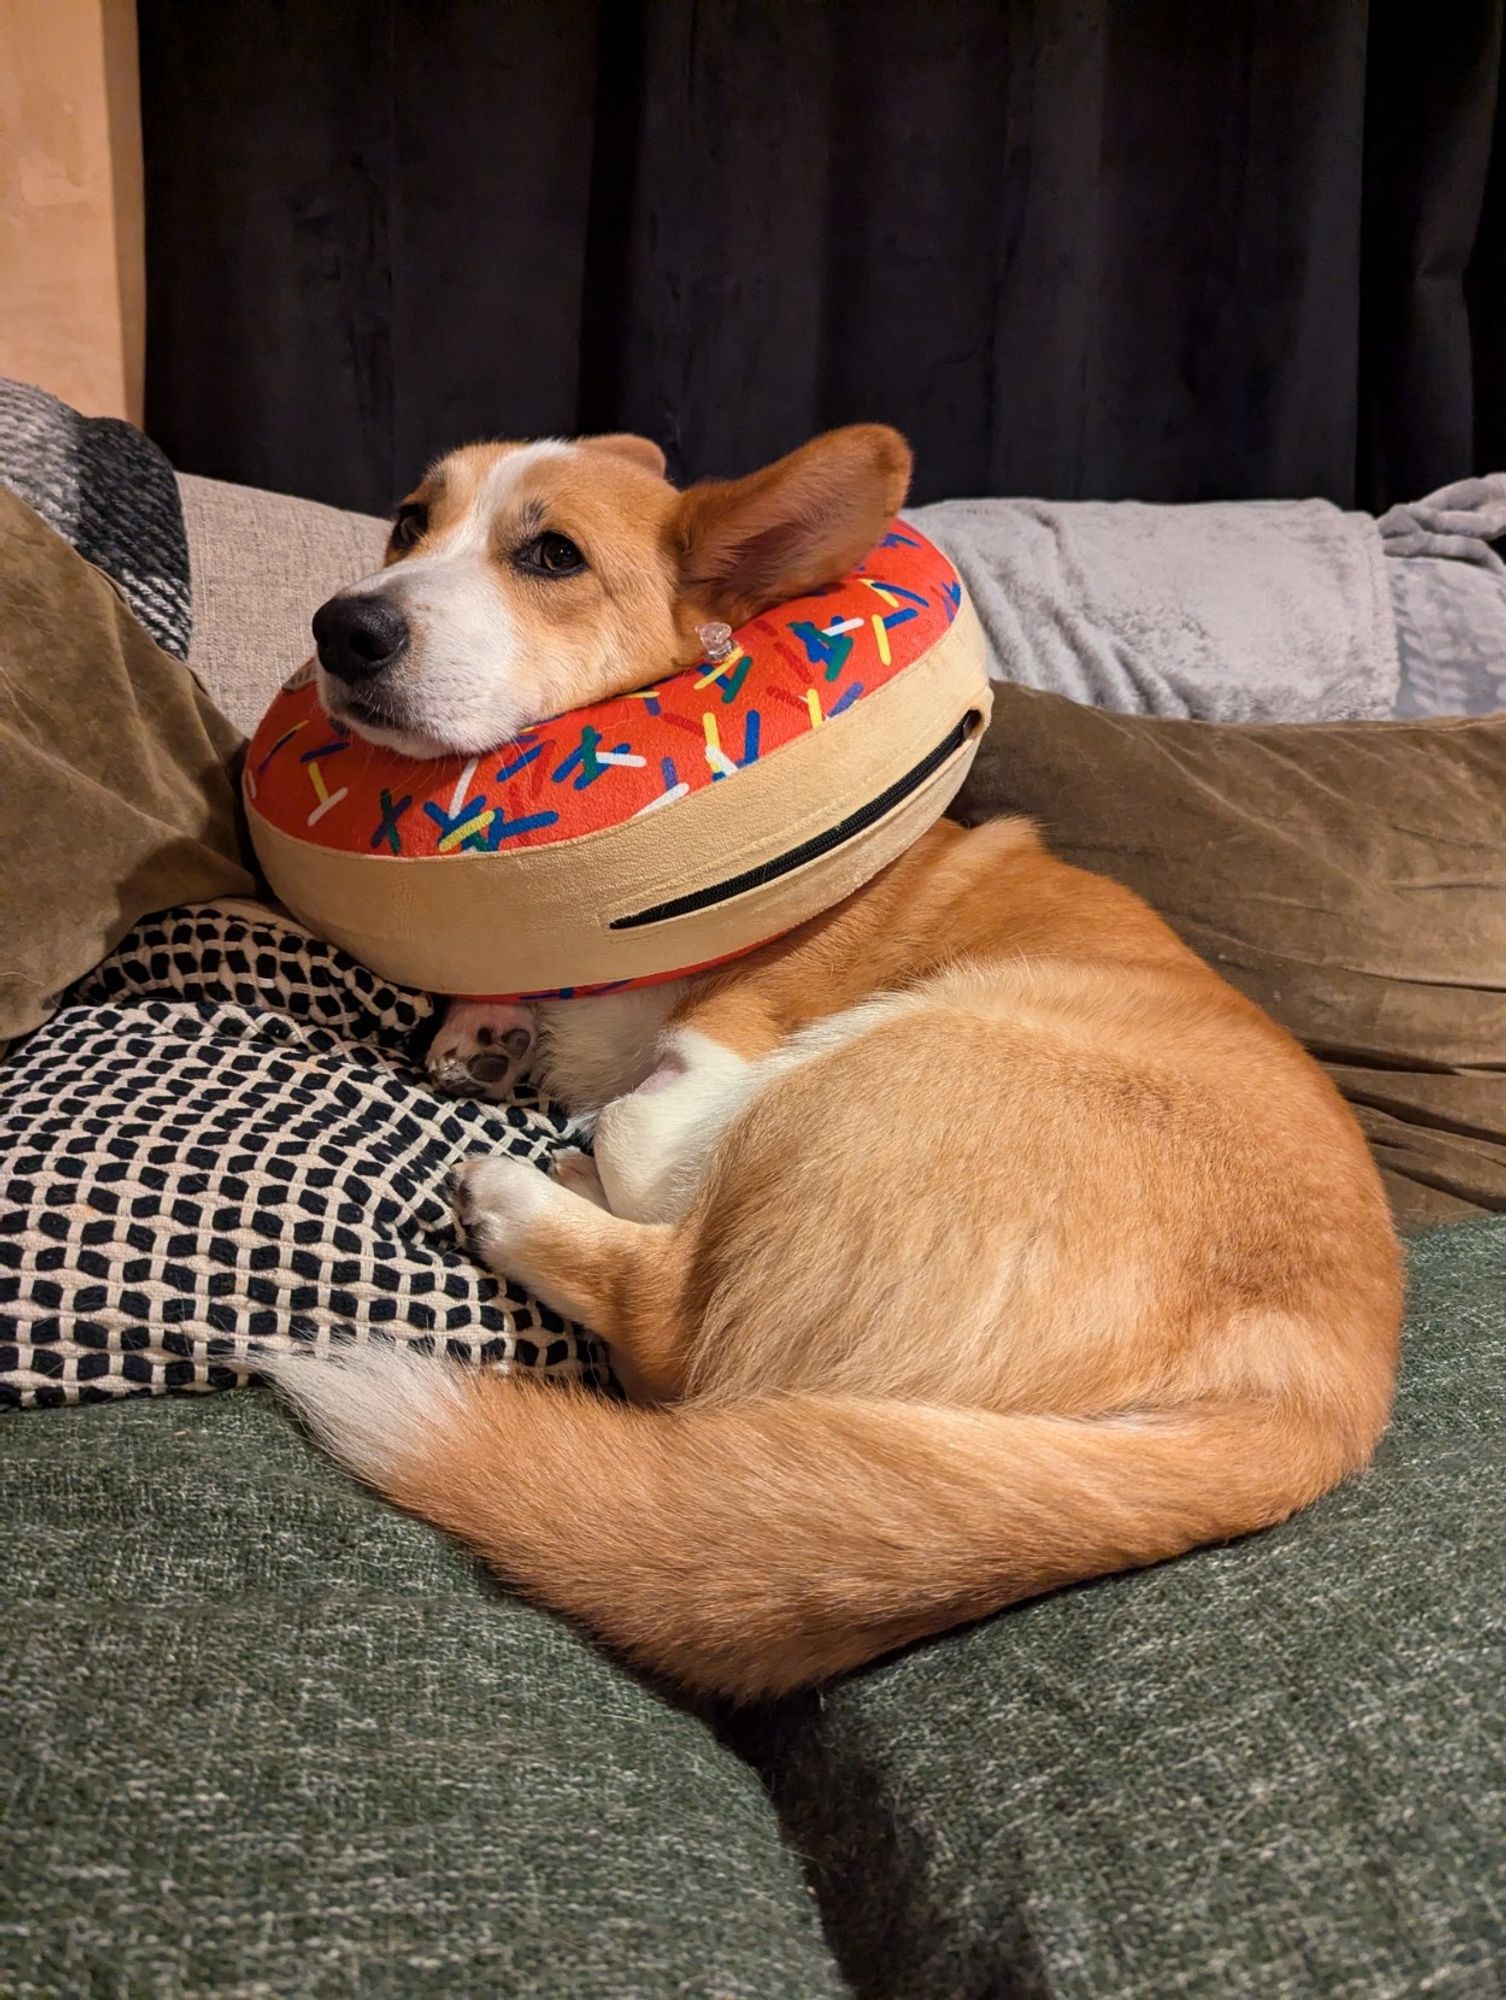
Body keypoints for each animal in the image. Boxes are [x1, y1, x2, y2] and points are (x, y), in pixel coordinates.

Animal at [264, 430, 1408, 1696]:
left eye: (552, 554)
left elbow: (640, 1128)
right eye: (408, 522)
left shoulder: (737, 1043)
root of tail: (1313, 1403)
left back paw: (527, 1192)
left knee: (668, 1324)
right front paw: (489, 1029)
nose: (344, 627)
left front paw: (596, 1143)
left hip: (902, 1048)